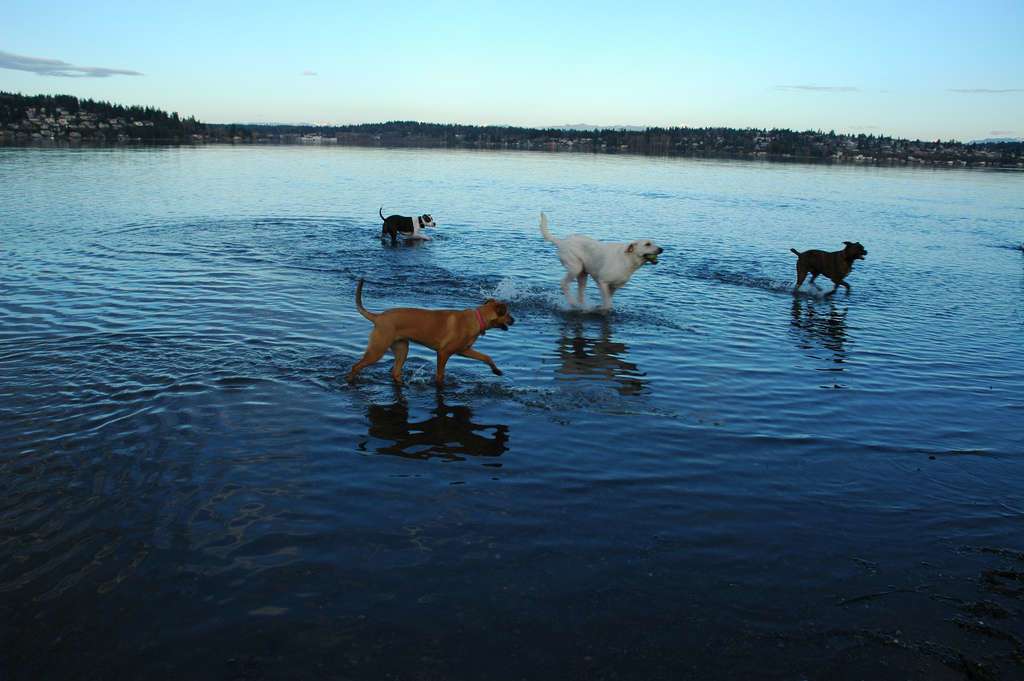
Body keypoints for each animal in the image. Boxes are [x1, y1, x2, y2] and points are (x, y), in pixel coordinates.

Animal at [346, 276, 520, 382]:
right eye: (508, 313)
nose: (514, 320)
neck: (478, 318)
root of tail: (378, 317)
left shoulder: (464, 350)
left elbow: (486, 357)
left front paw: (496, 370)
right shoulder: (443, 353)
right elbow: (440, 374)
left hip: (402, 348)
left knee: (395, 372)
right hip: (377, 349)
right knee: (356, 366)